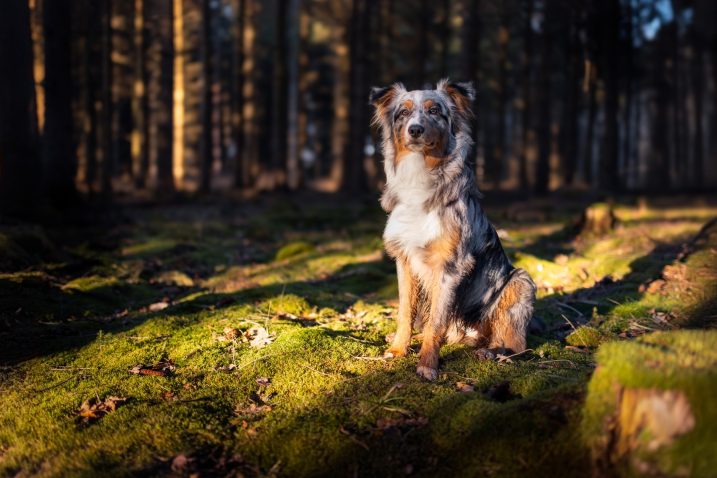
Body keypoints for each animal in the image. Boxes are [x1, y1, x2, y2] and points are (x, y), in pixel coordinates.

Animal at [372, 80, 536, 382]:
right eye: (403, 112)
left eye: (434, 110)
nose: (415, 129)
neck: (420, 171)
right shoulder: (404, 259)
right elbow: (405, 312)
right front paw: (398, 349)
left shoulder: (450, 266)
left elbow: (436, 322)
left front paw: (427, 366)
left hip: (520, 282)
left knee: (517, 344)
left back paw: (492, 352)